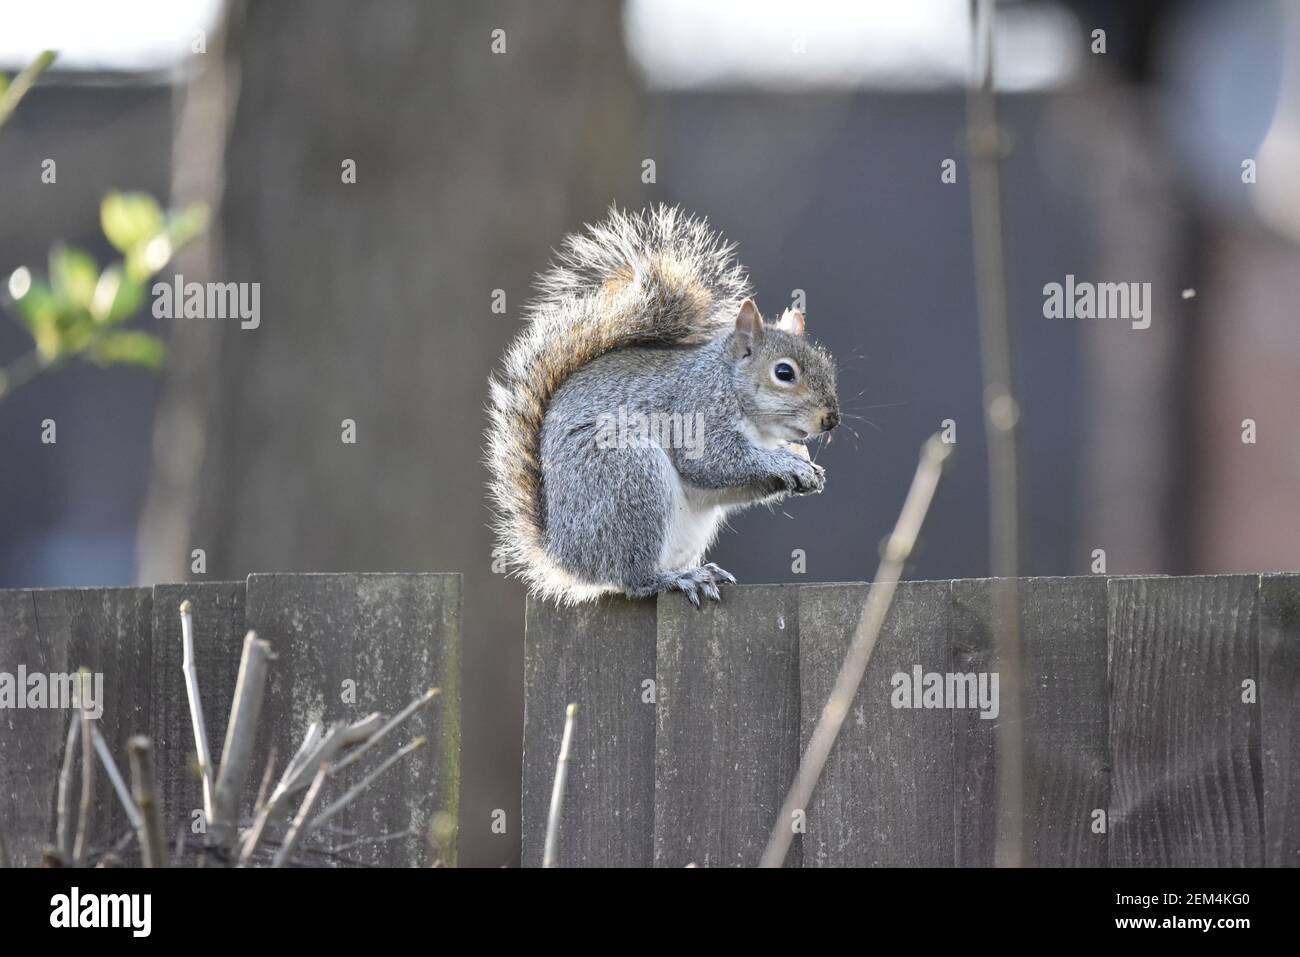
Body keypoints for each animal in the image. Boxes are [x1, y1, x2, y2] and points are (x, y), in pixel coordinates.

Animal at [486, 205, 840, 606]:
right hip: (629, 475)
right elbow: (712, 462)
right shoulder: (696, 410)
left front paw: (806, 472)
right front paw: (786, 462)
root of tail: (565, 555)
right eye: (784, 372)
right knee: (633, 579)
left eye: (827, 366)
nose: (831, 419)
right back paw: (675, 578)